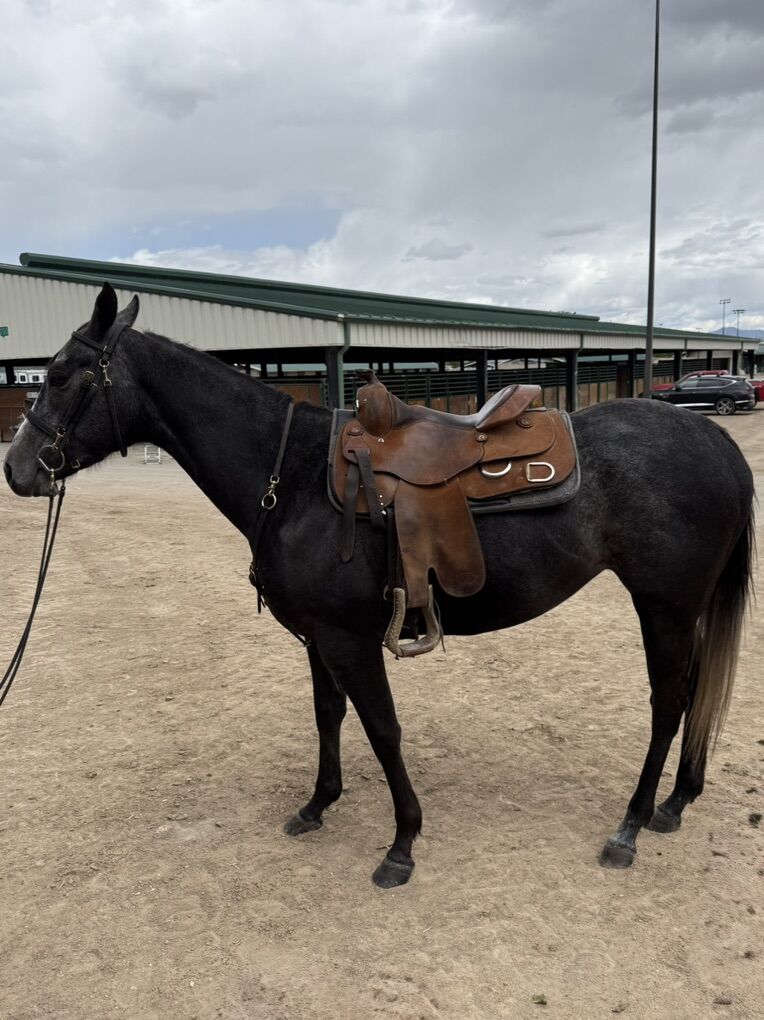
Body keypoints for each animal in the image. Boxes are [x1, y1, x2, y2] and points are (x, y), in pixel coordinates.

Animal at [4, 283, 755, 888]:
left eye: (62, 374)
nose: (17, 468)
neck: (293, 476)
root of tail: (718, 443)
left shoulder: (350, 638)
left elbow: (383, 728)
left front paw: (402, 844)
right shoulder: (317, 637)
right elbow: (328, 715)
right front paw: (317, 804)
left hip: (665, 605)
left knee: (669, 700)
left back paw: (629, 826)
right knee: (691, 696)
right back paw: (675, 803)